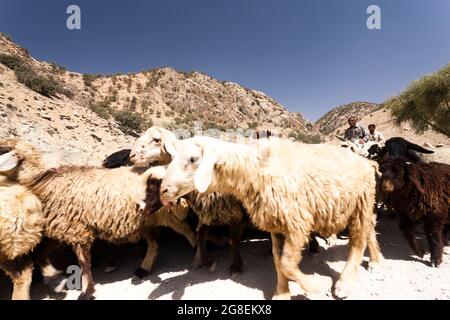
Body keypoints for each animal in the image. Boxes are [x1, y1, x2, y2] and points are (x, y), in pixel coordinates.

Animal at [160, 136, 382, 298]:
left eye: (193, 159)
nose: (163, 191)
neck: (257, 170)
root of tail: (367, 161)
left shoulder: (296, 222)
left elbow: (287, 263)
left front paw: (313, 285)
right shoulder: (277, 225)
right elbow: (278, 260)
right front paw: (282, 293)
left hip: (362, 201)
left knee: (358, 240)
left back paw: (345, 283)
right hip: (362, 204)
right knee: (369, 229)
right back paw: (376, 261)